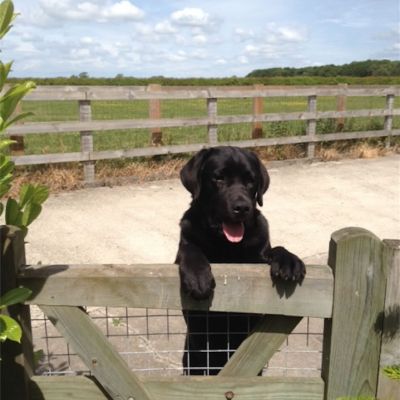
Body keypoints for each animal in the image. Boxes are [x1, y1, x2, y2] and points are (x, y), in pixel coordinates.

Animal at [175, 146, 305, 375]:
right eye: (218, 178)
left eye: (250, 180)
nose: (242, 207)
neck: (227, 245)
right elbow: (189, 249)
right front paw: (198, 277)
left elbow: (274, 250)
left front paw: (288, 260)